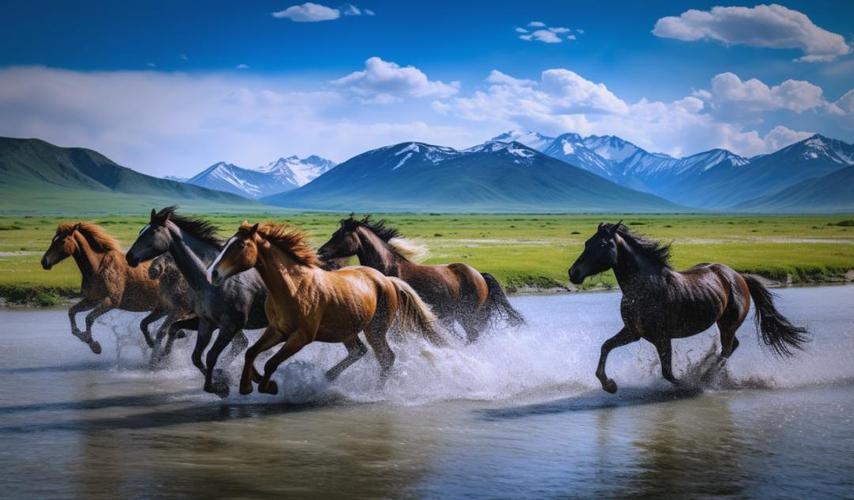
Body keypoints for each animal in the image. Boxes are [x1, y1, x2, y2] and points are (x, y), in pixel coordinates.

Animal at [40, 222, 168, 354]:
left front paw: (94, 345)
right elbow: (72, 312)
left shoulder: (111, 301)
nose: (44, 262)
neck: (98, 267)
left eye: (62, 241)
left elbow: (89, 318)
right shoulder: (93, 299)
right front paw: (84, 337)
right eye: (53, 240)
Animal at [125, 207, 267, 397]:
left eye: (152, 231)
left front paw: (158, 360)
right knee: (240, 343)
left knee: (242, 343)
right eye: (141, 230)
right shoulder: (189, 316)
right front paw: (161, 355)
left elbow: (165, 331)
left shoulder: (188, 312)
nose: (129, 257)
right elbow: (161, 329)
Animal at [207, 221, 447, 396]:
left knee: (386, 357)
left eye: (240, 245)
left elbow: (270, 362)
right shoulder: (277, 330)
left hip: (375, 330)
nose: (213, 273)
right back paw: (329, 377)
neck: (292, 287)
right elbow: (251, 352)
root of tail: (386, 279)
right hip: (347, 329)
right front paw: (248, 385)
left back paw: (376, 392)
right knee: (360, 351)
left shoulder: (301, 337)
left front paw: (268, 386)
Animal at [568, 221, 809, 394]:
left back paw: (707, 378)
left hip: (728, 324)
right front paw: (609, 385)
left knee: (727, 348)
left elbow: (668, 373)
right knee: (731, 347)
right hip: (724, 324)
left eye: (602, 244)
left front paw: (690, 385)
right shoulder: (633, 332)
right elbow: (606, 346)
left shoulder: (662, 337)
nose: (573, 273)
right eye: (587, 243)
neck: (644, 287)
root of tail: (738, 276)